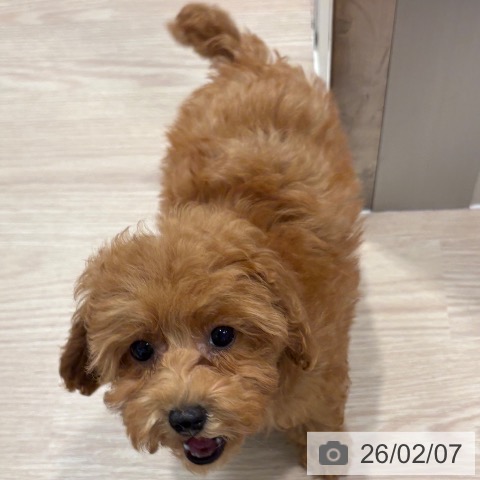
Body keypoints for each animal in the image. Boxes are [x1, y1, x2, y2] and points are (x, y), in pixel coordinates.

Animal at [59, 3, 362, 474]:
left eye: (223, 336)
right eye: (140, 350)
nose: (186, 418)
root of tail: (246, 61)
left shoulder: (322, 386)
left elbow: (322, 434)